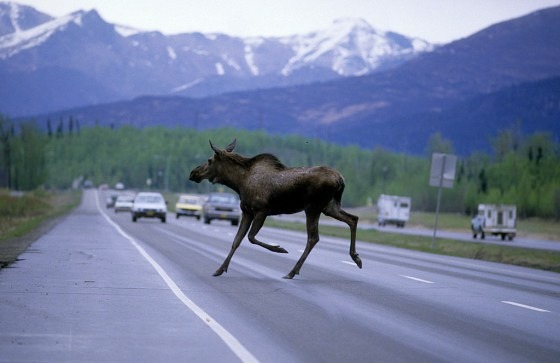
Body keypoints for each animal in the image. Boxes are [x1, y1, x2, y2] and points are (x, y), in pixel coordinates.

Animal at [189, 139, 364, 278]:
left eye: (209, 160)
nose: (193, 173)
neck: (238, 183)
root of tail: (341, 180)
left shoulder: (262, 211)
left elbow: (250, 237)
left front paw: (279, 249)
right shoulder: (247, 212)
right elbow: (236, 241)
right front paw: (220, 269)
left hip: (313, 207)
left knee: (313, 238)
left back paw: (292, 271)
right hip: (329, 206)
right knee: (353, 219)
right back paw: (356, 257)